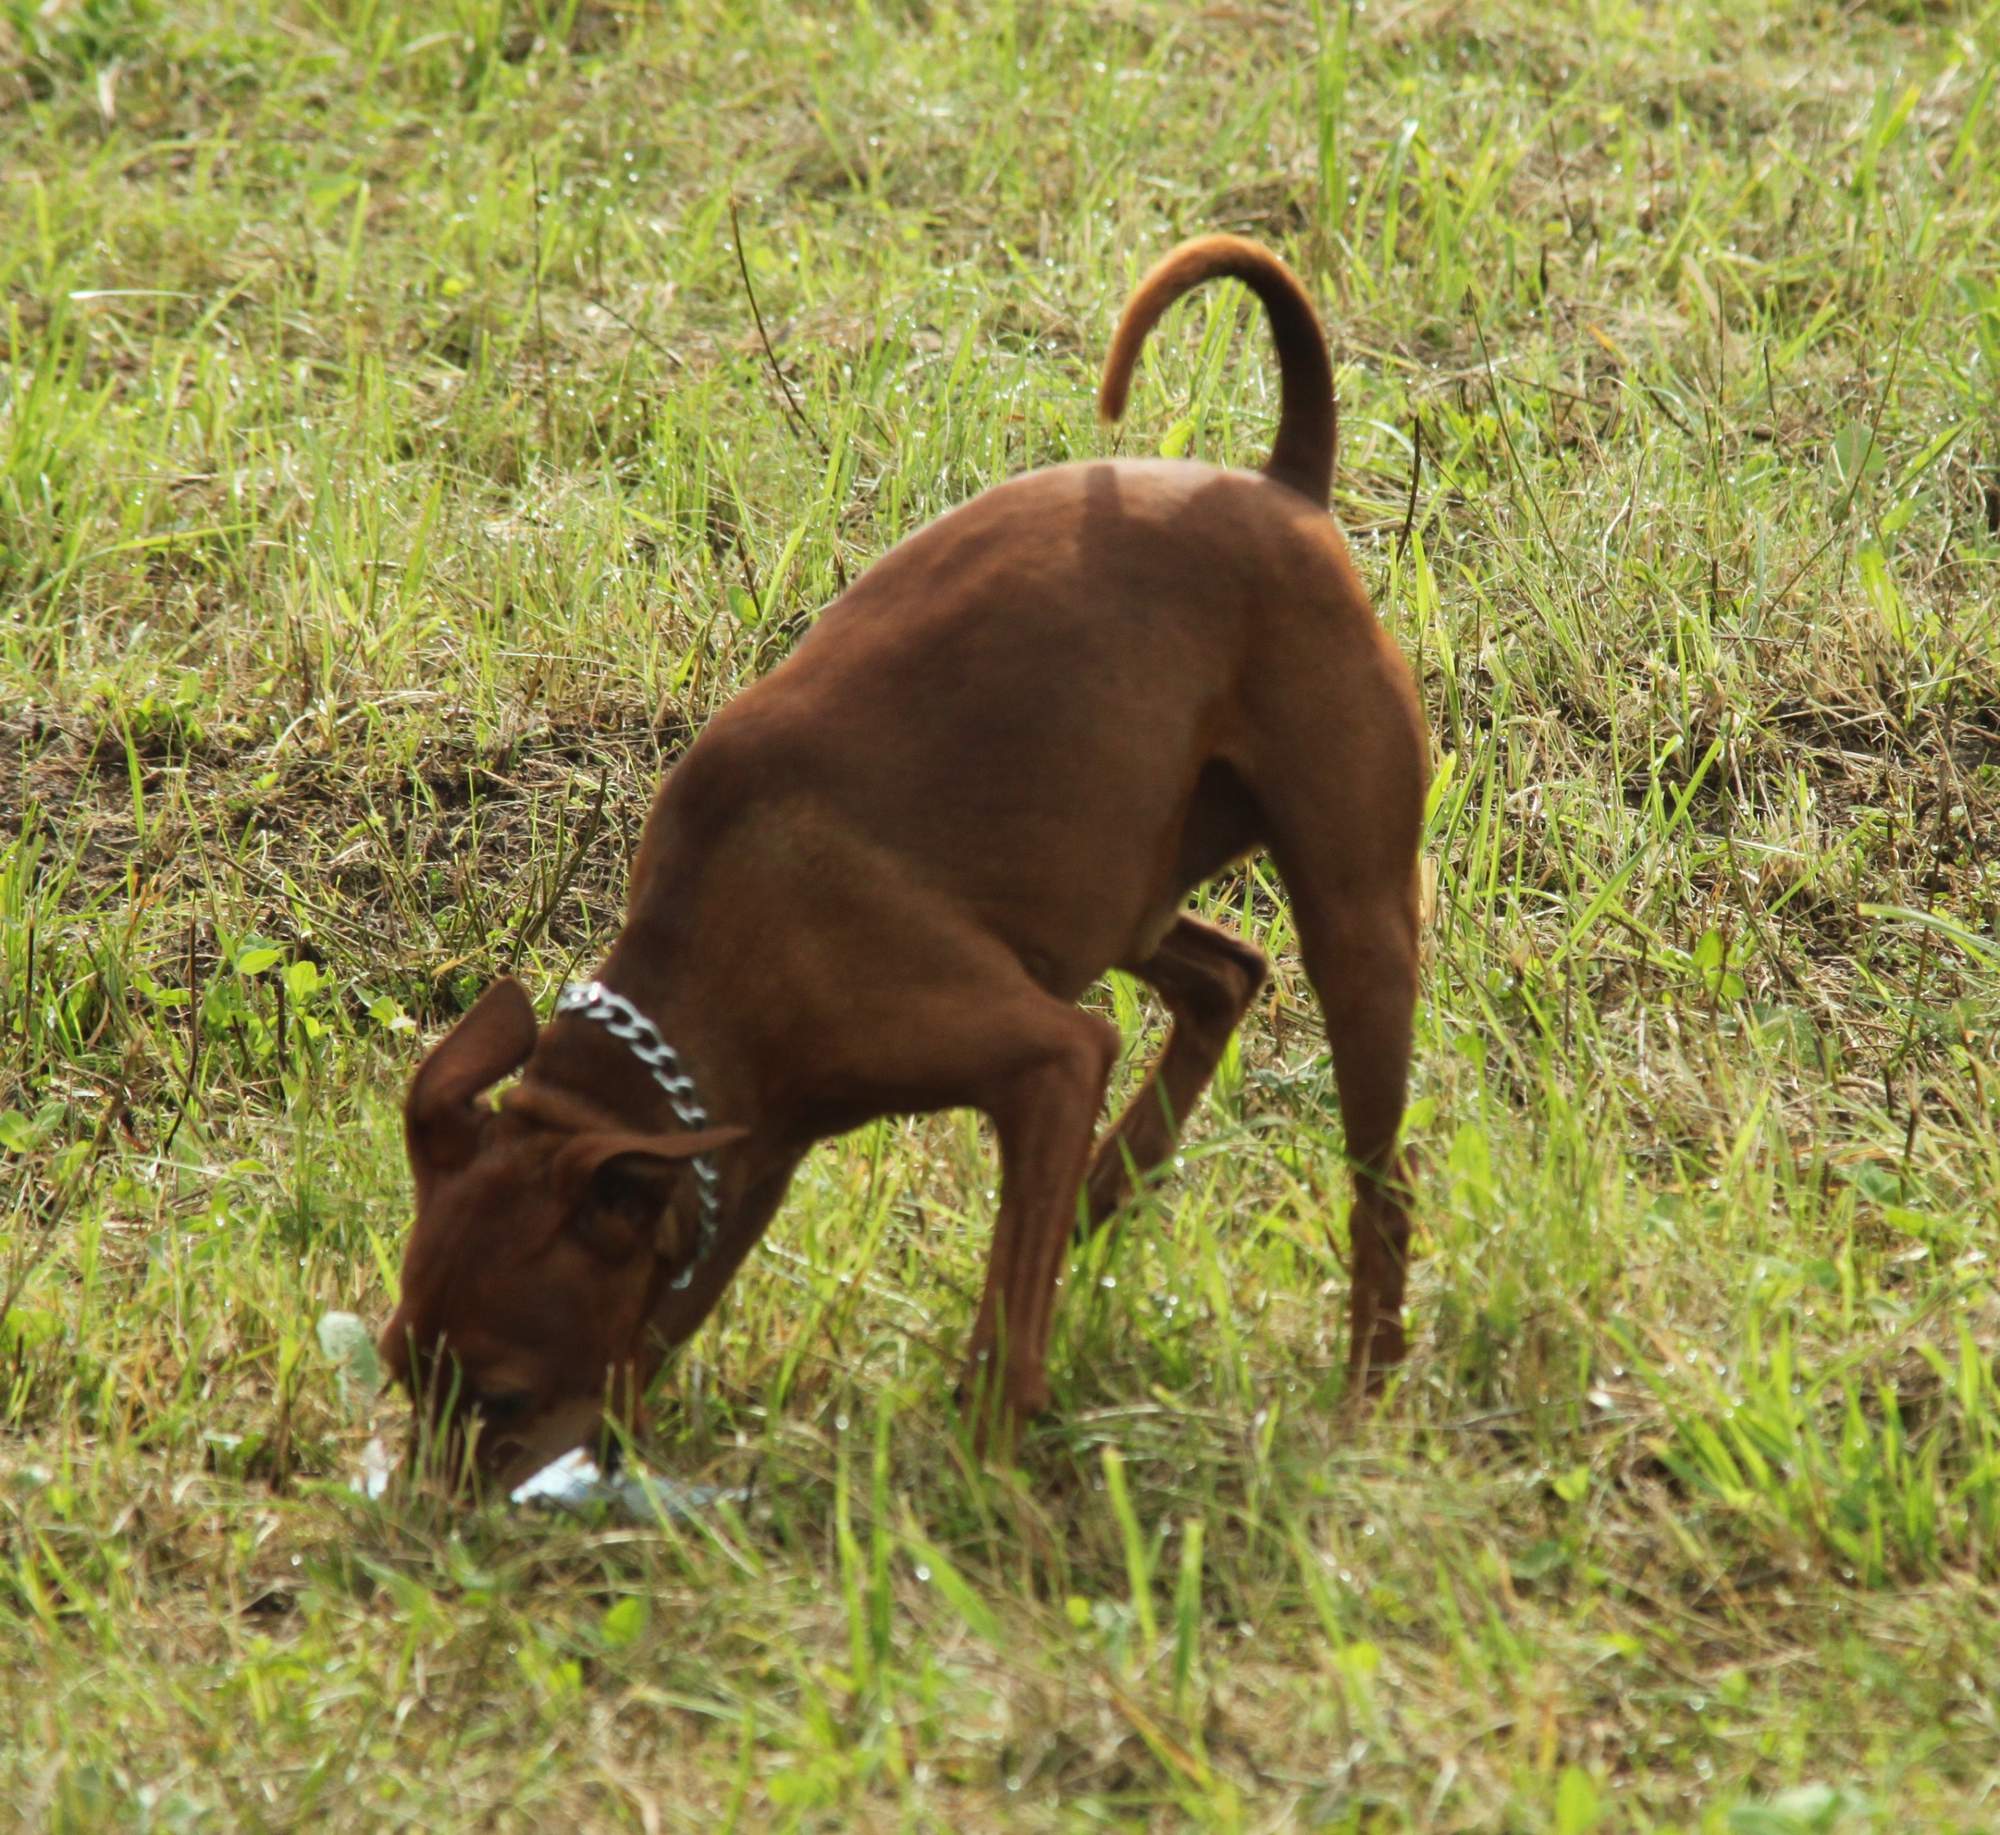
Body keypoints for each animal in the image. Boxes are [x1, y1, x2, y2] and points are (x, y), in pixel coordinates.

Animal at [382, 236, 1432, 1495]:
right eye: (397, 1366)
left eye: (501, 1394)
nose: (434, 1522)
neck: (709, 956)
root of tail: (1282, 484)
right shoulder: (758, 1152)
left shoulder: (1045, 1058)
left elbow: (1007, 1329)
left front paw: (988, 1466)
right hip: (1118, 893)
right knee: (1226, 973)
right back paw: (1106, 1188)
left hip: (1353, 919)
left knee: (1377, 1181)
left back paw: (1366, 1382)